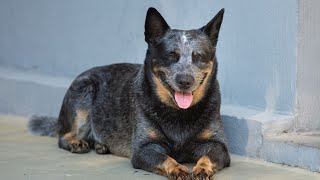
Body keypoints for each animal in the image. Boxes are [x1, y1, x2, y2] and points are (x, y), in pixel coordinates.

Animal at [28, 7, 230, 180]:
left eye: (199, 56)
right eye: (171, 55)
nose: (185, 81)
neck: (179, 114)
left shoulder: (219, 146)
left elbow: (208, 156)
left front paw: (201, 169)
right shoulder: (143, 149)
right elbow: (165, 158)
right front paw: (178, 168)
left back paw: (100, 145)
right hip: (83, 93)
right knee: (63, 135)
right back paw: (75, 142)